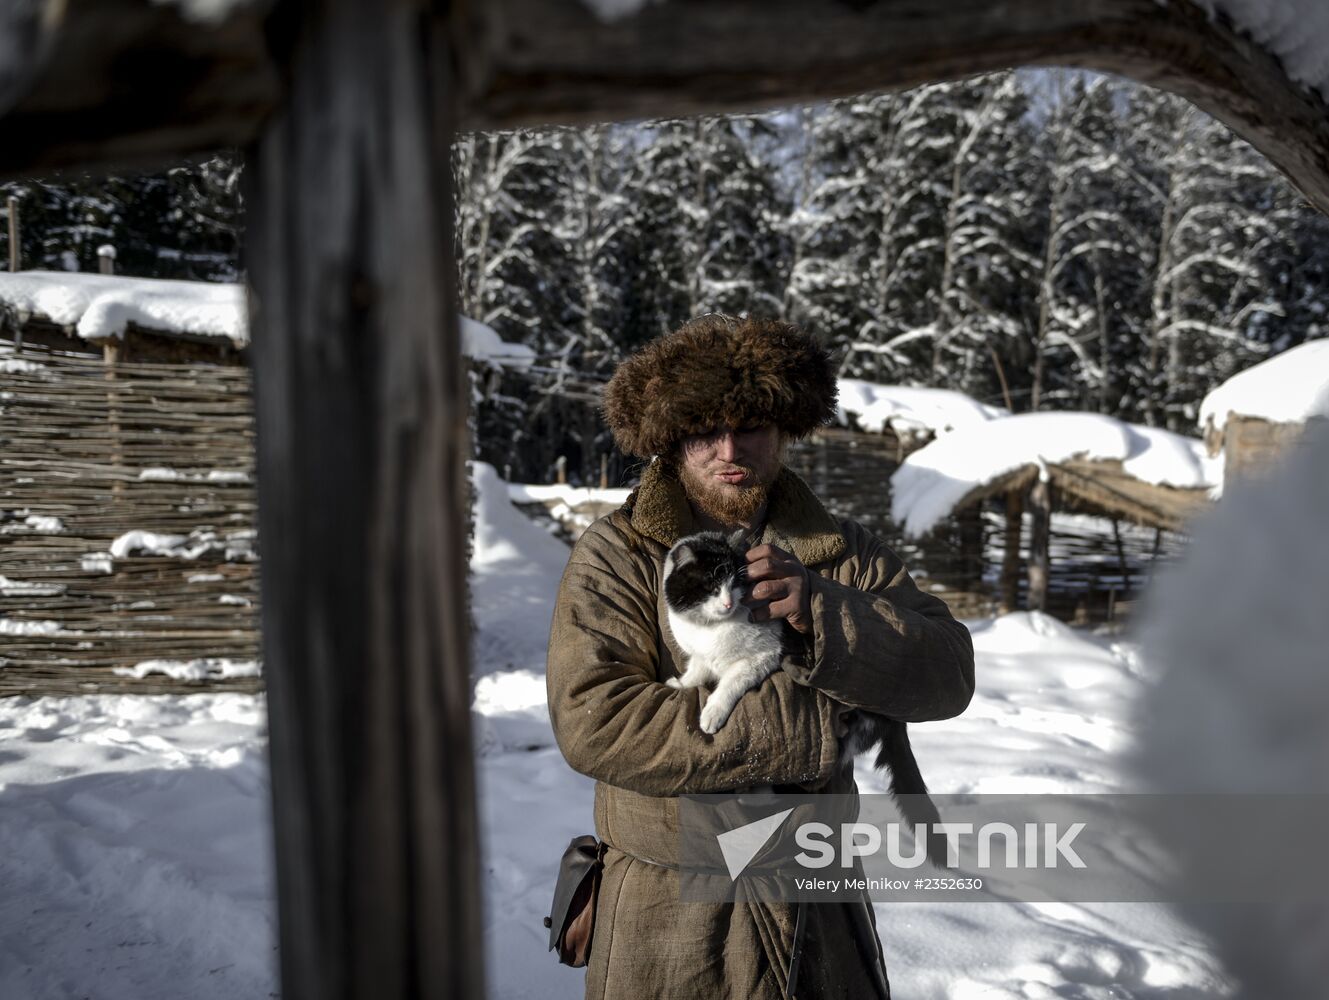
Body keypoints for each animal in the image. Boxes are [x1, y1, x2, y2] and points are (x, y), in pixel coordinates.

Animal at [659, 531, 951, 867]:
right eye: (711, 583)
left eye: (738, 582)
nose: (729, 602)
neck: (712, 631)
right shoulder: (700, 654)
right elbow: (696, 669)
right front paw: (681, 683)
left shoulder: (762, 657)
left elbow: (730, 683)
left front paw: (712, 713)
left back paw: (751, 793)